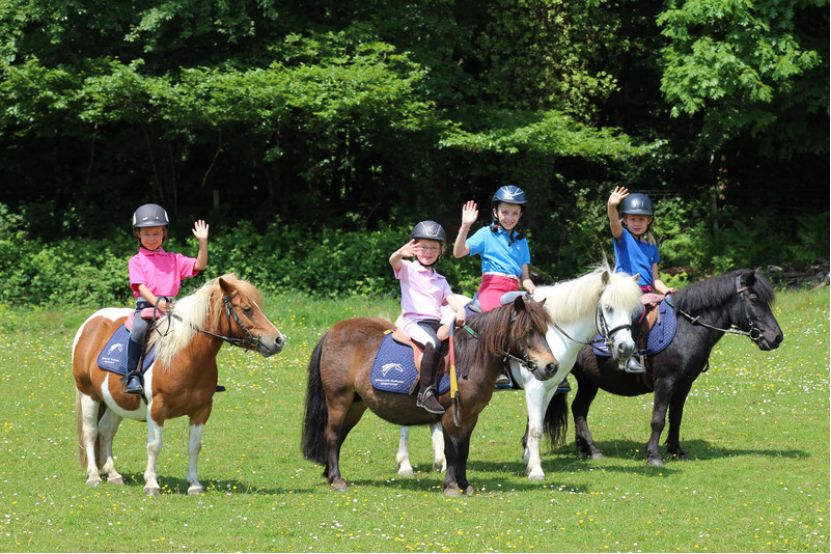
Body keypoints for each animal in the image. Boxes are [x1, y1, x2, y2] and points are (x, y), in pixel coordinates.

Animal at [72, 274, 286, 494]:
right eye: (247, 309)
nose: (279, 340)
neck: (184, 355)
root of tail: (91, 322)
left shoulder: (202, 410)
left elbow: (194, 446)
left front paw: (194, 484)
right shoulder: (157, 409)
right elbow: (154, 445)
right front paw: (151, 484)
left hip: (116, 401)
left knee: (106, 430)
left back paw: (113, 474)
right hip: (89, 394)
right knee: (91, 432)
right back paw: (94, 476)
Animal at [300, 296, 560, 494]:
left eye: (544, 331)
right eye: (527, 331)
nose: (551, 366)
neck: (470, 358)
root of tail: (331, 332)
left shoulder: (470, 416)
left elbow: (463, 450)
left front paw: (464, 485)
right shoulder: (450, 416)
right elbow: (451, 450)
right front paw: (451, 486)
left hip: (355, 405)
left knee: (338, 437)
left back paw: (329, 474)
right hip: (338, 400)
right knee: (332, 436)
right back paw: (337, 479)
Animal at [396, 264, 644, 478]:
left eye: (632, 310)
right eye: (608, 308)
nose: (626, 348)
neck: (554, 331)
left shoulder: (550, 387)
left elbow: (537, 424)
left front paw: (528, 460)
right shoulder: (536, 387)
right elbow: (535, 428)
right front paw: (536, 470)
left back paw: (441, 460)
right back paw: (406, 465)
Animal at [544, 266, 784, 464]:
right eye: (754, 299)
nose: (776, 337)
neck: (687, 328)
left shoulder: (684, 384)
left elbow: (676, 417)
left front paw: (676, 450)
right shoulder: (665, 382)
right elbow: (658, 418)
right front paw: (653, 455)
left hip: (589, 381)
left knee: (579, 410)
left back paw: (588, 449)